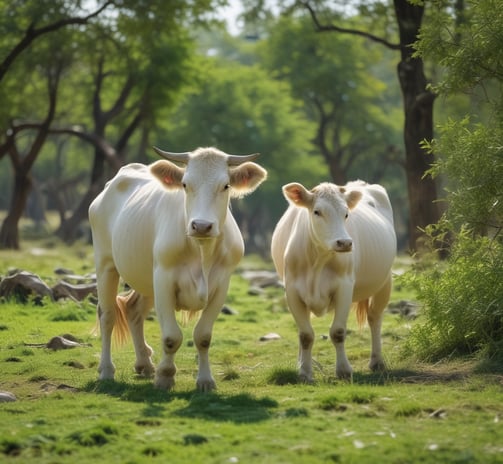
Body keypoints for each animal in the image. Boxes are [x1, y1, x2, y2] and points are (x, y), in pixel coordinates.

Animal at [89, 146, 268, 392]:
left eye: (225, 186)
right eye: (185, 184)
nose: (201, 225)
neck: (201, 250)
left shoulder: (221, 285)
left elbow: (203, 336)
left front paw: (205, 380)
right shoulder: (164, 279)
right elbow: (171, 337)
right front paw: (165, 376)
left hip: (146, 278)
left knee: (134, 311)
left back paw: (144, 364)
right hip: (105, 263)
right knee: (107, 315)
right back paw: (106, 370)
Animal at [272, 179, 398, 382]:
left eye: (346, 213)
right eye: (317, 212)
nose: (345, 242)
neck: (317, 260)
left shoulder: (344, 287)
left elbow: (338, 332)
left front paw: (344, 370)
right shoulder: (292, 291)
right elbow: (305, 335)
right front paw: (304, 372)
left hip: (384, 282)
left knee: (374, 317)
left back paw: (377, 361)